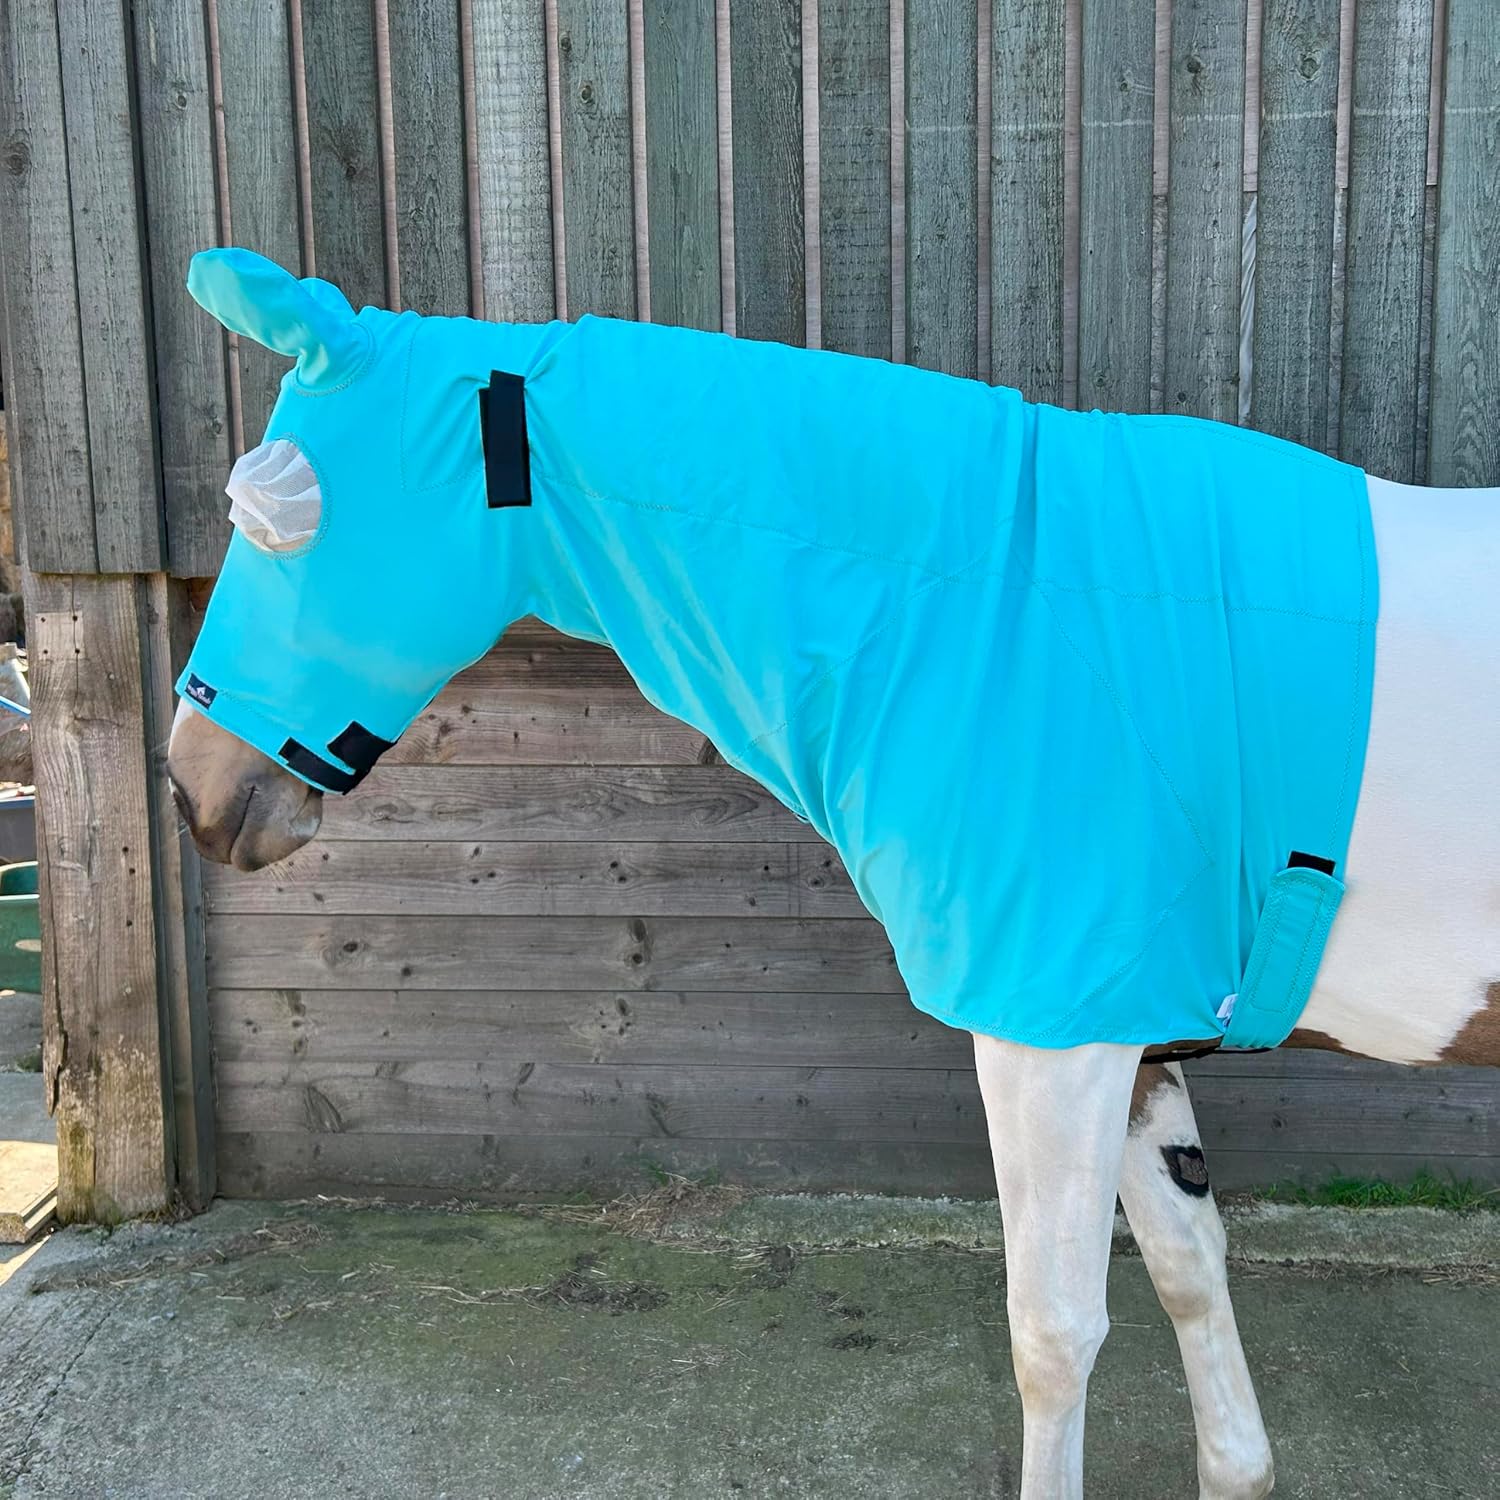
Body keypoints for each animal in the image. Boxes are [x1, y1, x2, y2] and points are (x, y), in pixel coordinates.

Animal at [166, 247, 1500, 1499]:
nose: (192, 789)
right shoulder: (1130, 1033)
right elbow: (1186, 1274)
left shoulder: (1053, 1044)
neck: (1003, 613)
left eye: (283, 520)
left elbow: (1054, 1336)